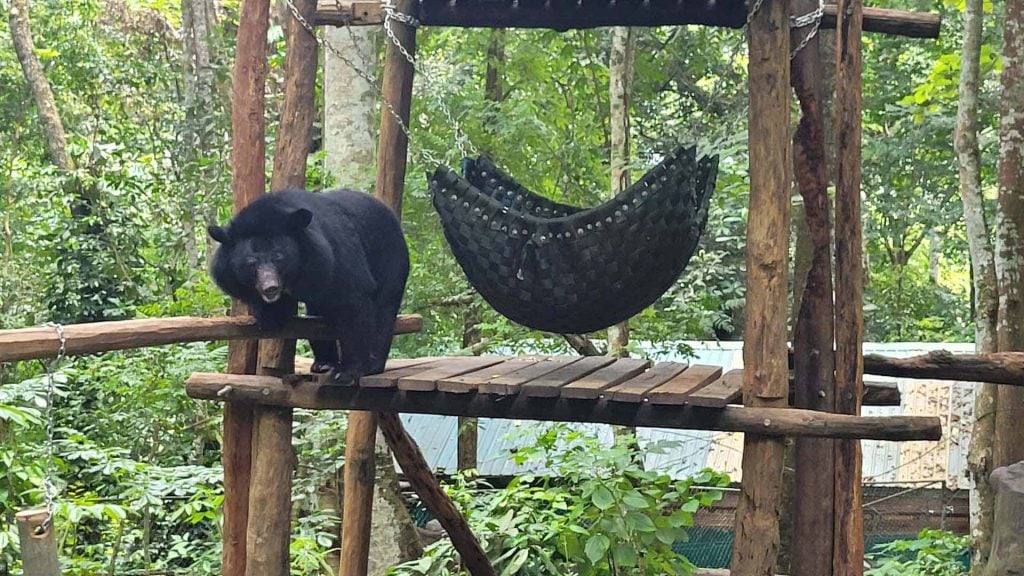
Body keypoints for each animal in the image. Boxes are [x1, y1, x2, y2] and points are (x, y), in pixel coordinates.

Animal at [209, 188, 409, 381]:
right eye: (251, 263)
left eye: (279, 258)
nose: (270, 287)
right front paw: (269, 317)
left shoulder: (334, 257)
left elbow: (354, 303)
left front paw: (347, 371)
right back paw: (324, 363)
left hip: (390, 259)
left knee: (384, 308)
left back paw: (373, 364)